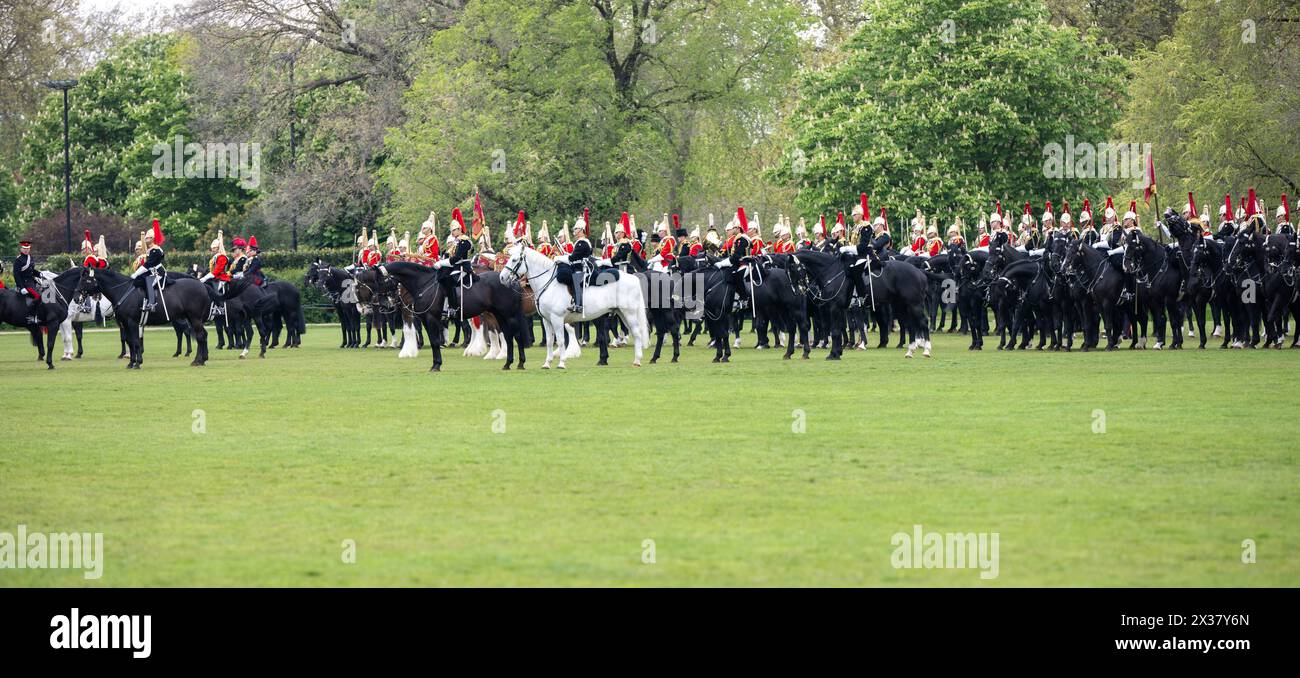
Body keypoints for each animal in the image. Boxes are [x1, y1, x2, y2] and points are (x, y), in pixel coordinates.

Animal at [501, 241, 655, 366]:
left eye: (514, 260)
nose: (502, 277)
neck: (548, 282)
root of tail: (634, 277)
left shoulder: (557, 319)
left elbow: (561, 340)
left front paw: (561, 363)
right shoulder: (546, 320)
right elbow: (550, 341)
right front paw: (547, 363)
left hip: (629, 313)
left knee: (637, 333)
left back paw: (637, 360)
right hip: (621, 313)